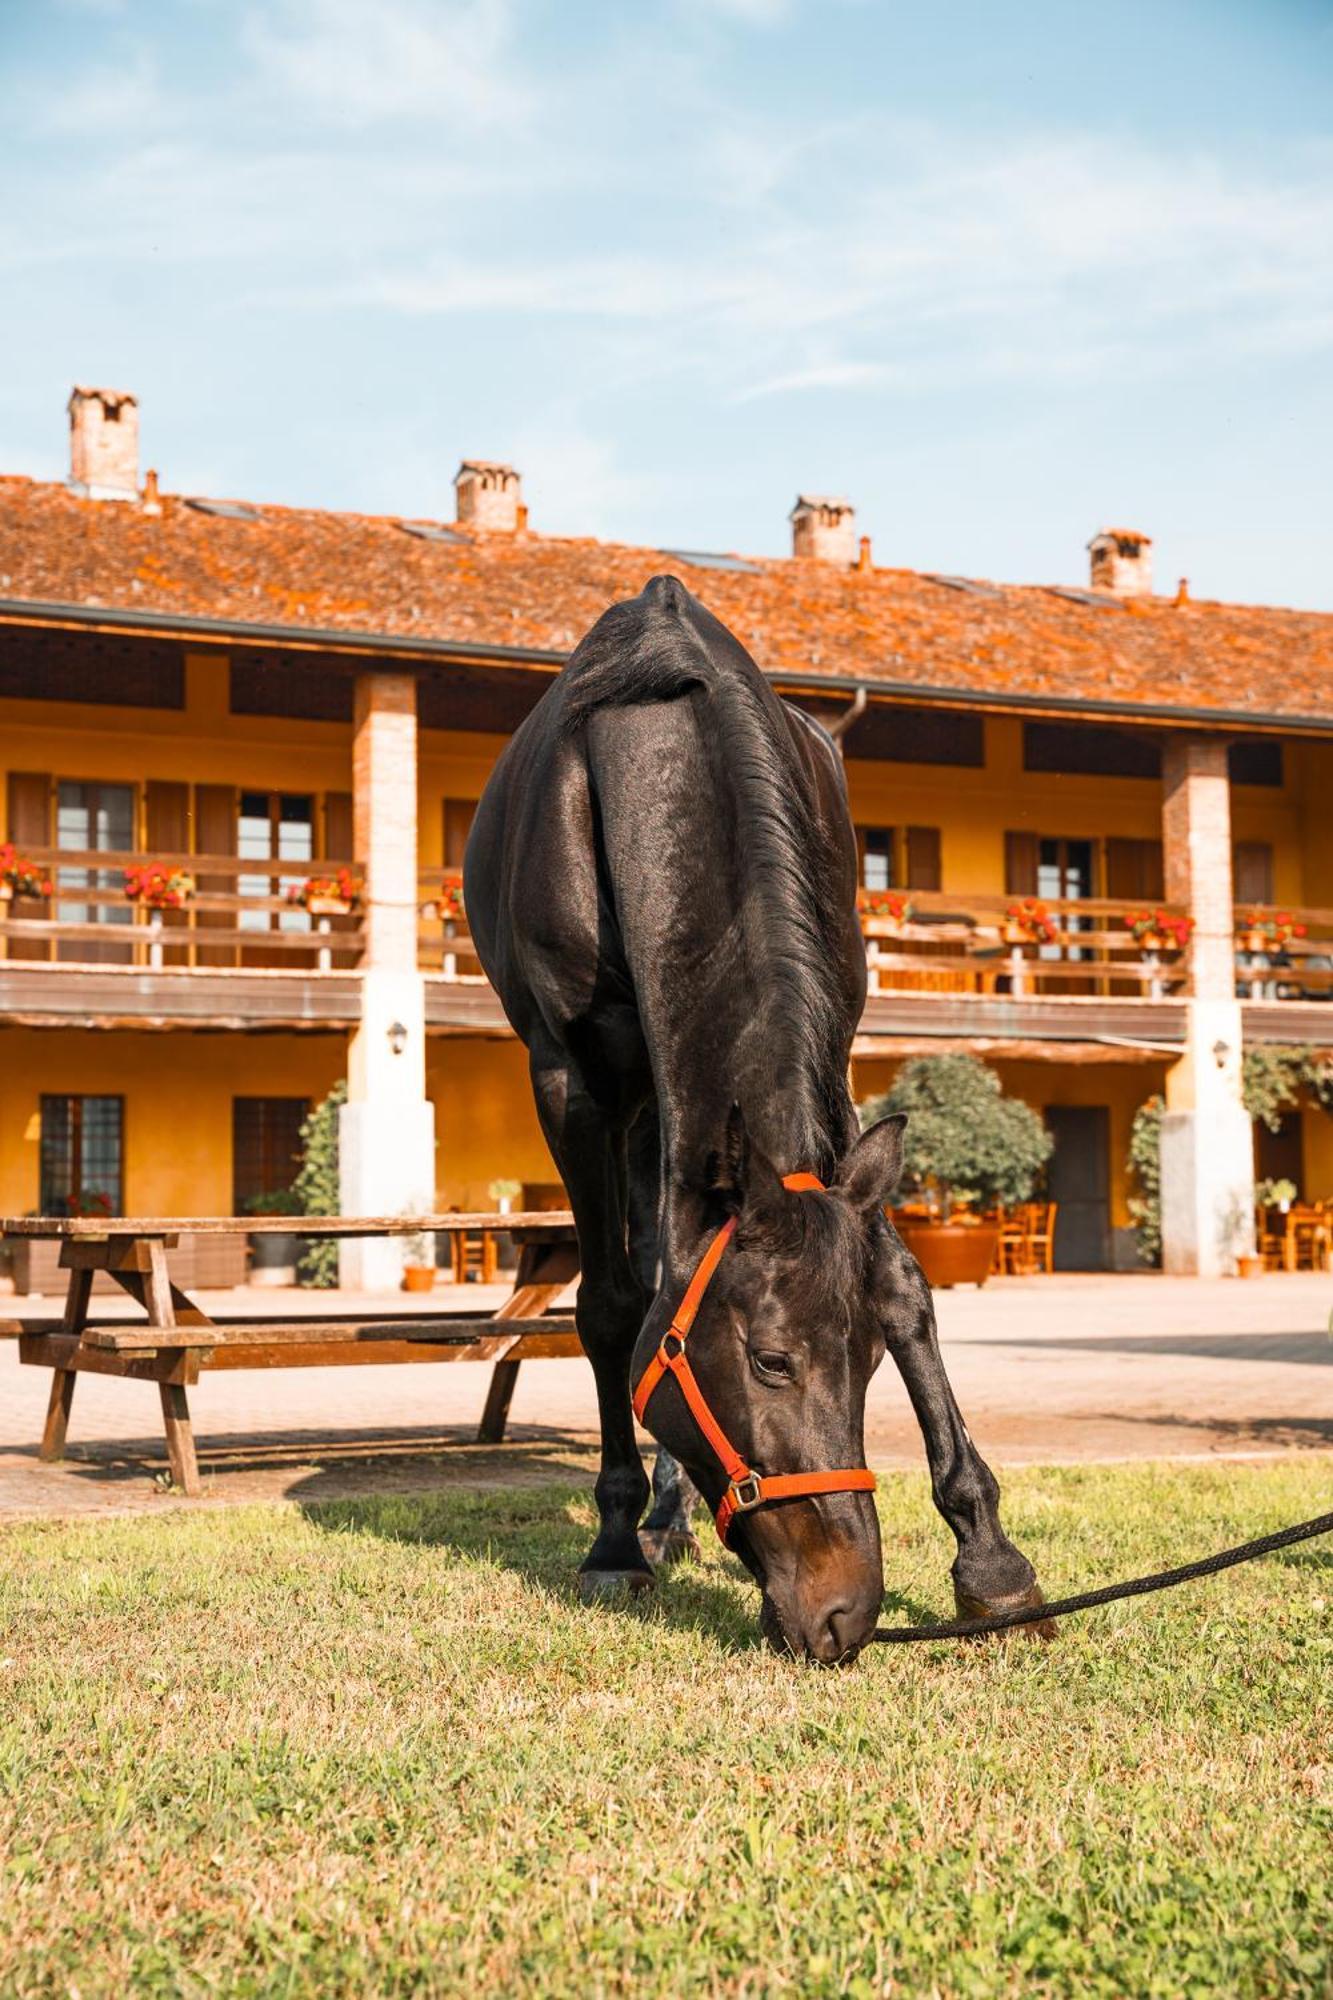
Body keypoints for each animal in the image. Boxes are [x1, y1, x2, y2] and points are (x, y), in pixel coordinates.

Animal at [462, 576, 1040, 1656]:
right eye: (770, 1359)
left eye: (869, 1359)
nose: (846, 1612)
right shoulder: (568, 1081)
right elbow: (612, 1308)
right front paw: (615, 1543)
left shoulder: (835, 1054)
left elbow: (902, 1277)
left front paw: (991, 1560)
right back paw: (651, 1518)